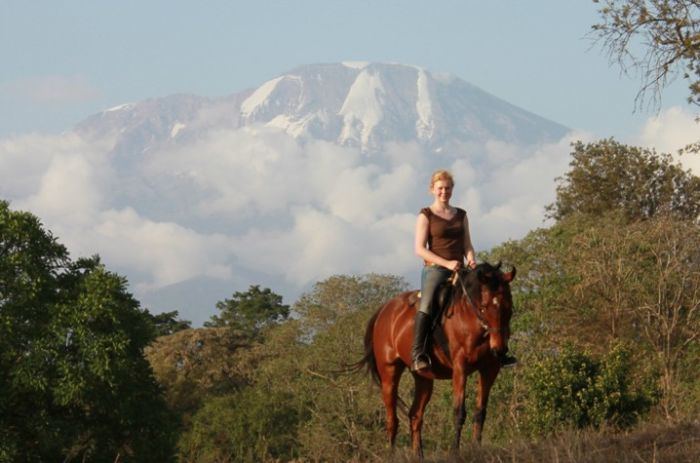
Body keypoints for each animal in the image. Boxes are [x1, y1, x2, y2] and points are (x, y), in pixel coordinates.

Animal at [356, 262, 516, 458]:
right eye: (484, 306)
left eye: (509, 307)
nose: (499, 350)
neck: (471, 320)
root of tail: (384, 310)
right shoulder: (460, 367)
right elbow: (459, 412)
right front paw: (455, 451)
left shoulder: (490, 369)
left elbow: (480, 412)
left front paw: (477, 448)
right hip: (389, 373)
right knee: (391, 419)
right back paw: (391, 455)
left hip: (423, 377)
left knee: (415, 415)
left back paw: (418, 456)